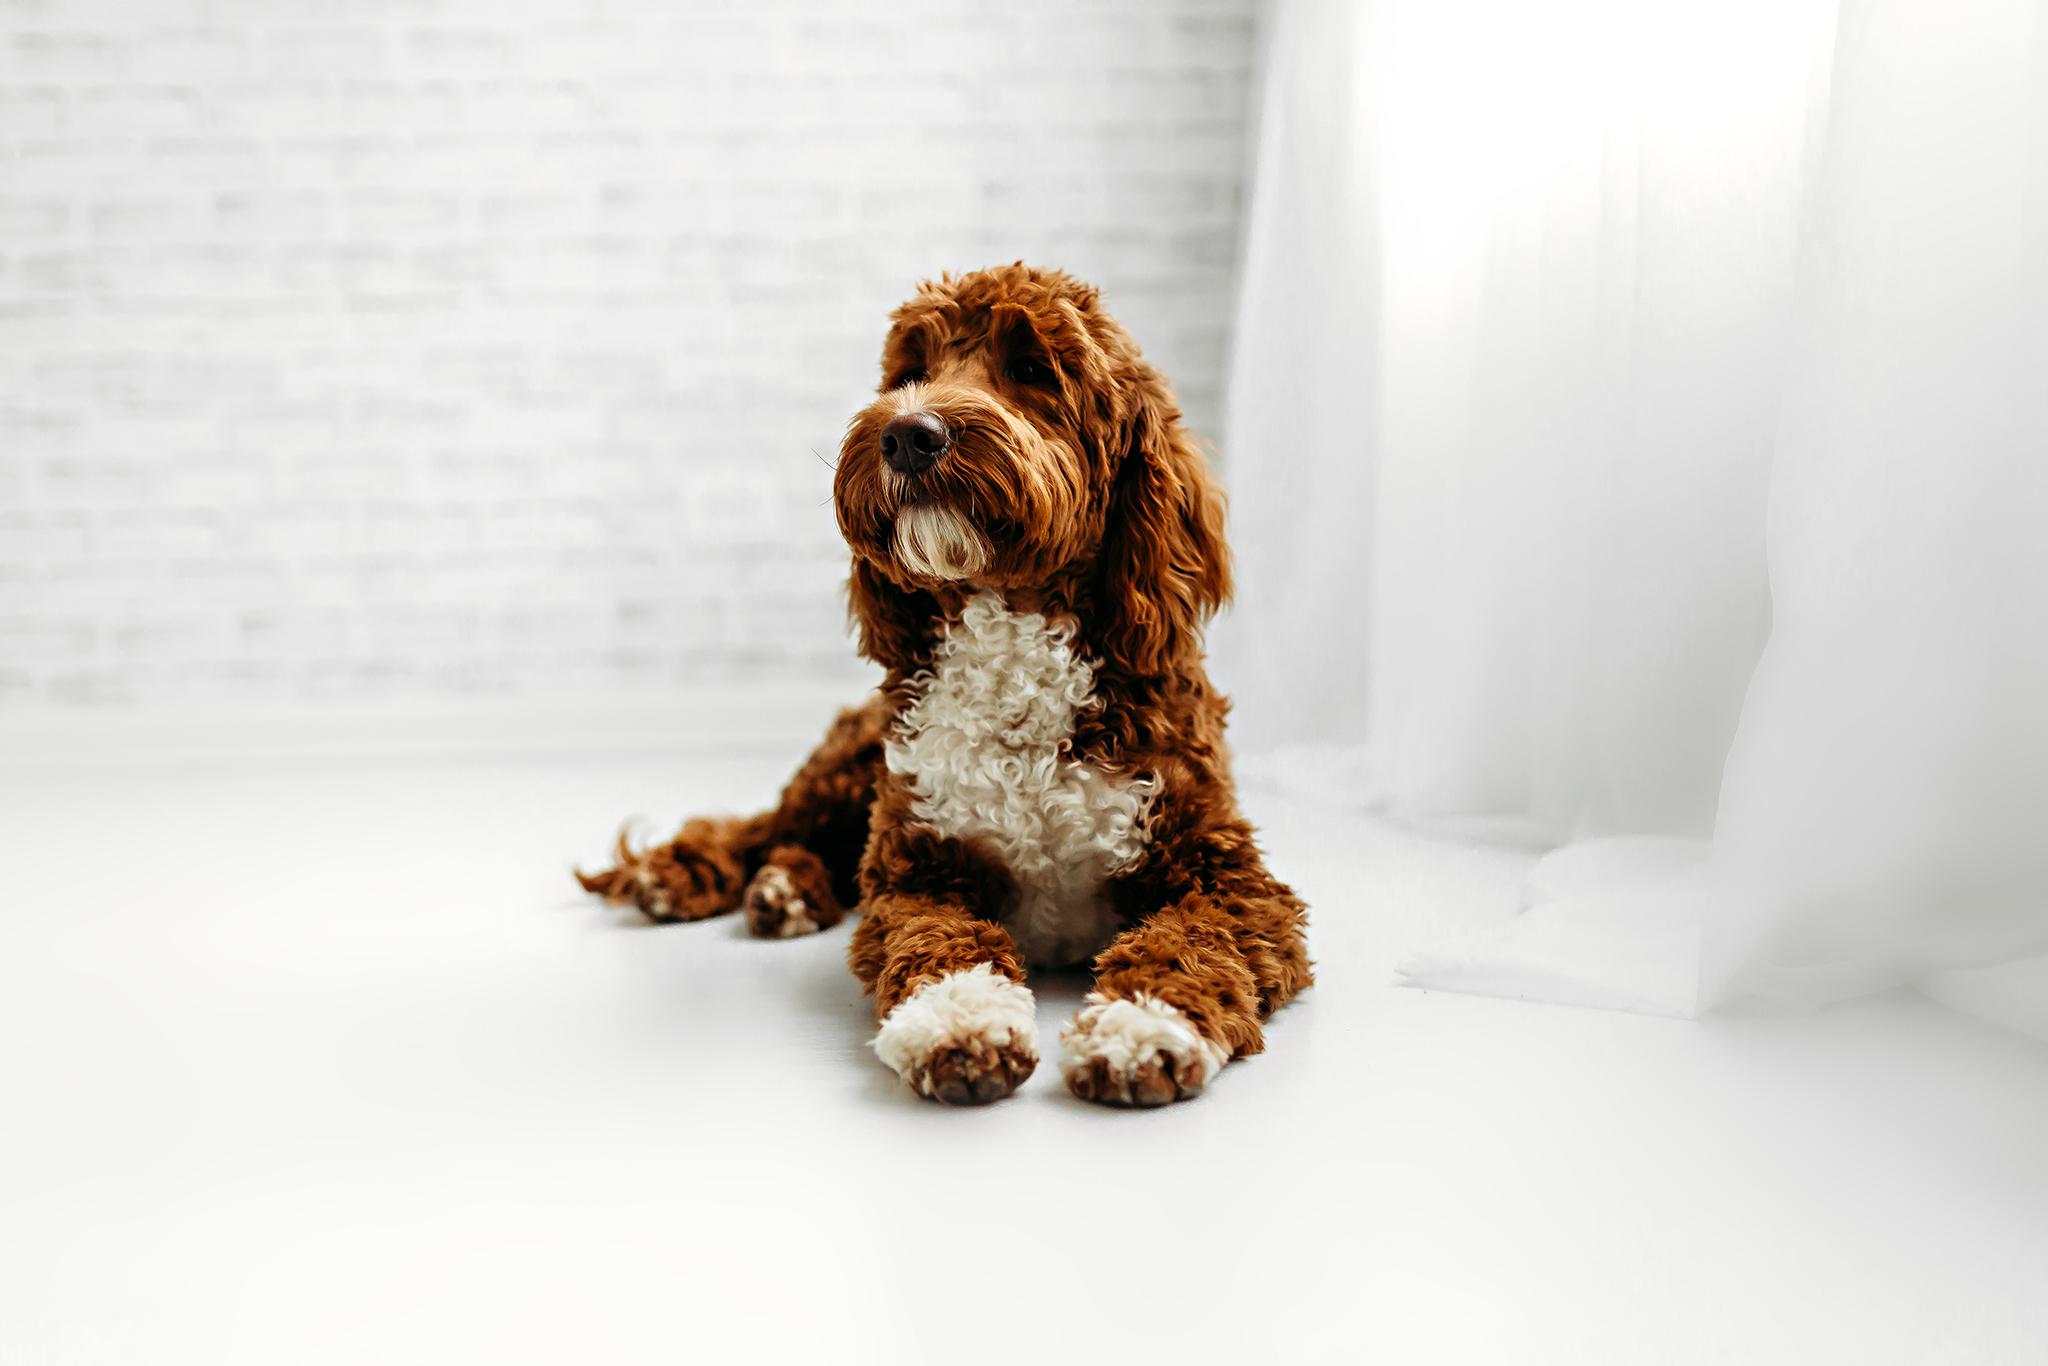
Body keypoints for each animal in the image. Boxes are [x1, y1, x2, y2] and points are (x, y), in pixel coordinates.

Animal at [578, 264, 1310, 1106]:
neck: (1013, 641)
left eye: (1032, 368)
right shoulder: (916, 867)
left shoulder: (1230, 878)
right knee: (765, 827)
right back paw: (699, 876)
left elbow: (1190, 943)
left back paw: (785, 891)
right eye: (911, 371)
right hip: (848, 767)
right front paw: (963, 1022)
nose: (907, 434)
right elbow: (939, 941)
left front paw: (1139, 1026)